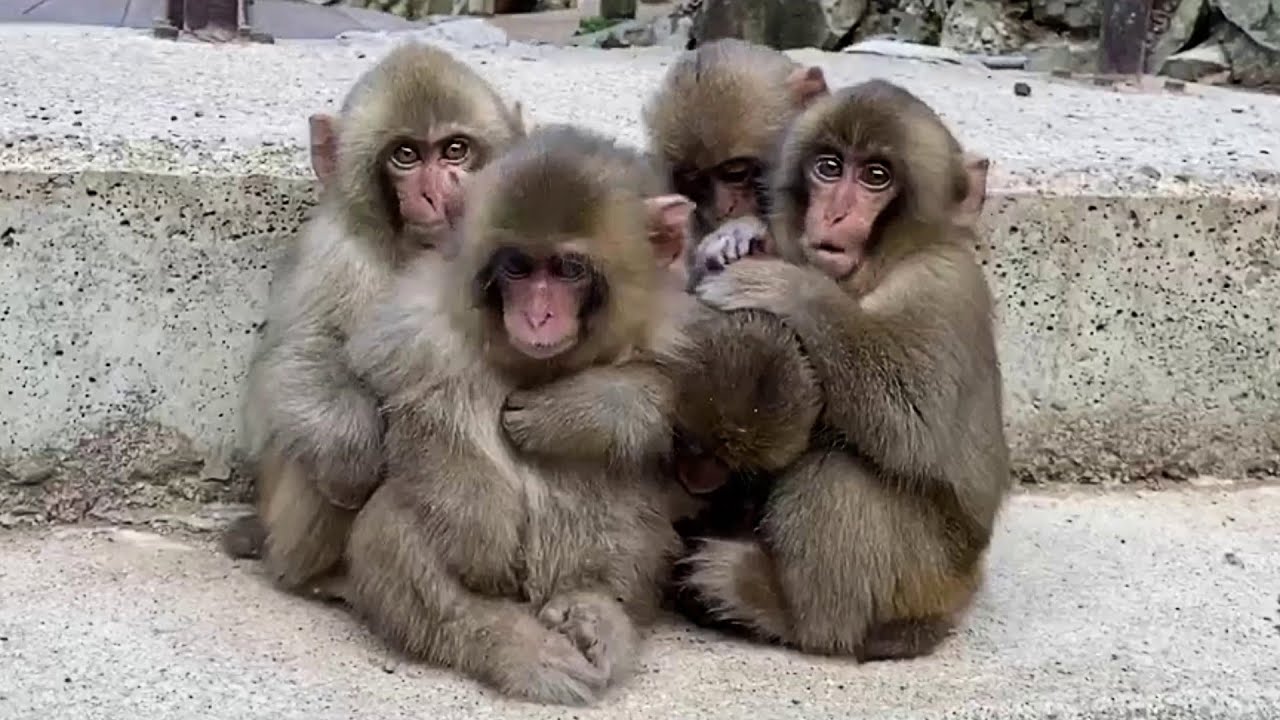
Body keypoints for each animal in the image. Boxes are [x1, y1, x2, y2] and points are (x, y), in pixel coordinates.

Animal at [222, 43, 525, 601]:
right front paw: (354, 461)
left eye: (455, 151)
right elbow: (293, 361)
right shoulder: (335, 253)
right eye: (405, 156)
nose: (438, 193)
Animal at [340, 124, 697, 705]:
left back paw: (597, 610)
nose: (537, 314)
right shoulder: (421, 324)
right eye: (517, 267)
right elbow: (415, 407)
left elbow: (673, 398)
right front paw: (478, 526)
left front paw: (575, 411)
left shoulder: (670, 328)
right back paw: (509, 642)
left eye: (569, 269)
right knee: (393, 529)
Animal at [679, 79, 1011, 661]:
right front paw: (737, 237)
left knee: (839, 469)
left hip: (928, 571)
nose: (833, 215)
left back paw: (788, 614)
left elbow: (912, 414)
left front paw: (786, 286)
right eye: (830, 168)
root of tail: (962, 592)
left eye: (876, 176)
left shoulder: (943, 285)